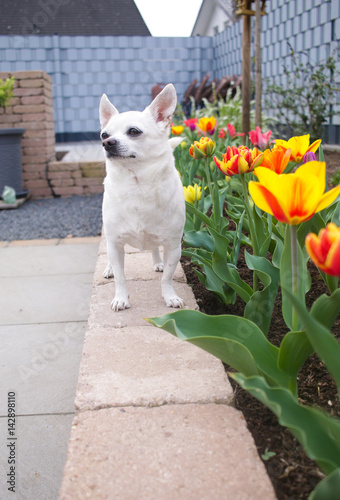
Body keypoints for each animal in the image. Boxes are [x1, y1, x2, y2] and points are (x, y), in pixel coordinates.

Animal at [99, 84, 186, 310]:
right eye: (103, 134)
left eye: (134, 131)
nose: (107, 143)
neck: (137, 186)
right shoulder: (115, 244)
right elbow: (120, 277)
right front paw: (121, 298)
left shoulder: (174, 246)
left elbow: (167, 277)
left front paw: (170, 296)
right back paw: (108, 269)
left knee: (155, 248)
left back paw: (157, 262)